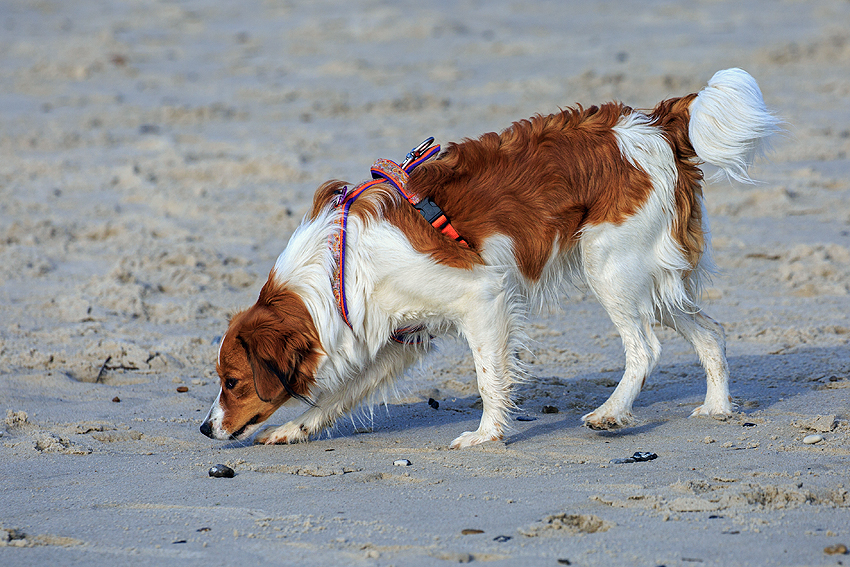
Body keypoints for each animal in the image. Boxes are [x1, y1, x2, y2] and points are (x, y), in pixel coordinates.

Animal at [199, 67, 776, 448]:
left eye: (232, 383)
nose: (205, 427)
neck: (342, 269)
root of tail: (650, 123)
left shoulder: (481, 294)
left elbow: (487, 375)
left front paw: (486, 434)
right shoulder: (394, 336)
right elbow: (335, 396)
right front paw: (294, 428)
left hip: (610, 268)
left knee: (645, 349)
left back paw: (610, 413)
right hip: (652, 281)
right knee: (711, 333)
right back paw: (717, 408)